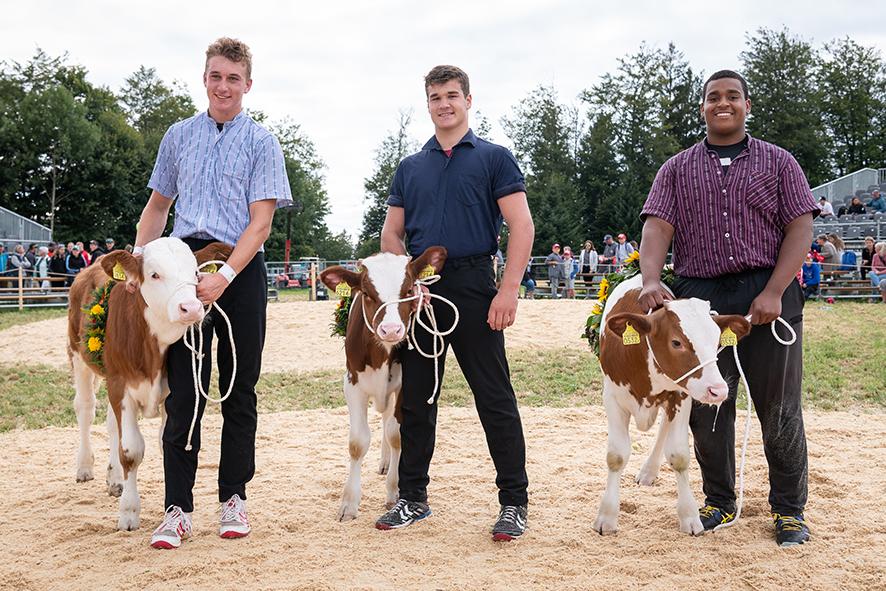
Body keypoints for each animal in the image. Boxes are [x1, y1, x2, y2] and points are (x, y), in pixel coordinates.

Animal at [68, 239, 231, 532]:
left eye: (195, 273)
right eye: (154, 275)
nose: (191, 308)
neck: (151, 350)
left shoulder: (168, 394)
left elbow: (166, 445)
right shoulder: (121, 386)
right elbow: (131, 450)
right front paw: (129, 513)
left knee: (111, 424)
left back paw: (115, 479)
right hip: (79, 357)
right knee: (85, 409)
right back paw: (85, 467)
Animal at [320, 247, 448, 520]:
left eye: (408, 290)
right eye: (367, 293)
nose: (391, 330)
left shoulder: (403, 386)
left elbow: (397, 435)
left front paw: (395, 490)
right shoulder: (352, 384)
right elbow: (357, 443)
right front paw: (349, 503)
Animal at [592, 276, 752, 540]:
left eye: (717, 341)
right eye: (676, 342)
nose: (718, 390)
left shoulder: (681, 395)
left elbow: (679, 456)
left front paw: (689, 516)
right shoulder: (612, 397)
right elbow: (616, 456)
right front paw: (606, 516)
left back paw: (649, 471)